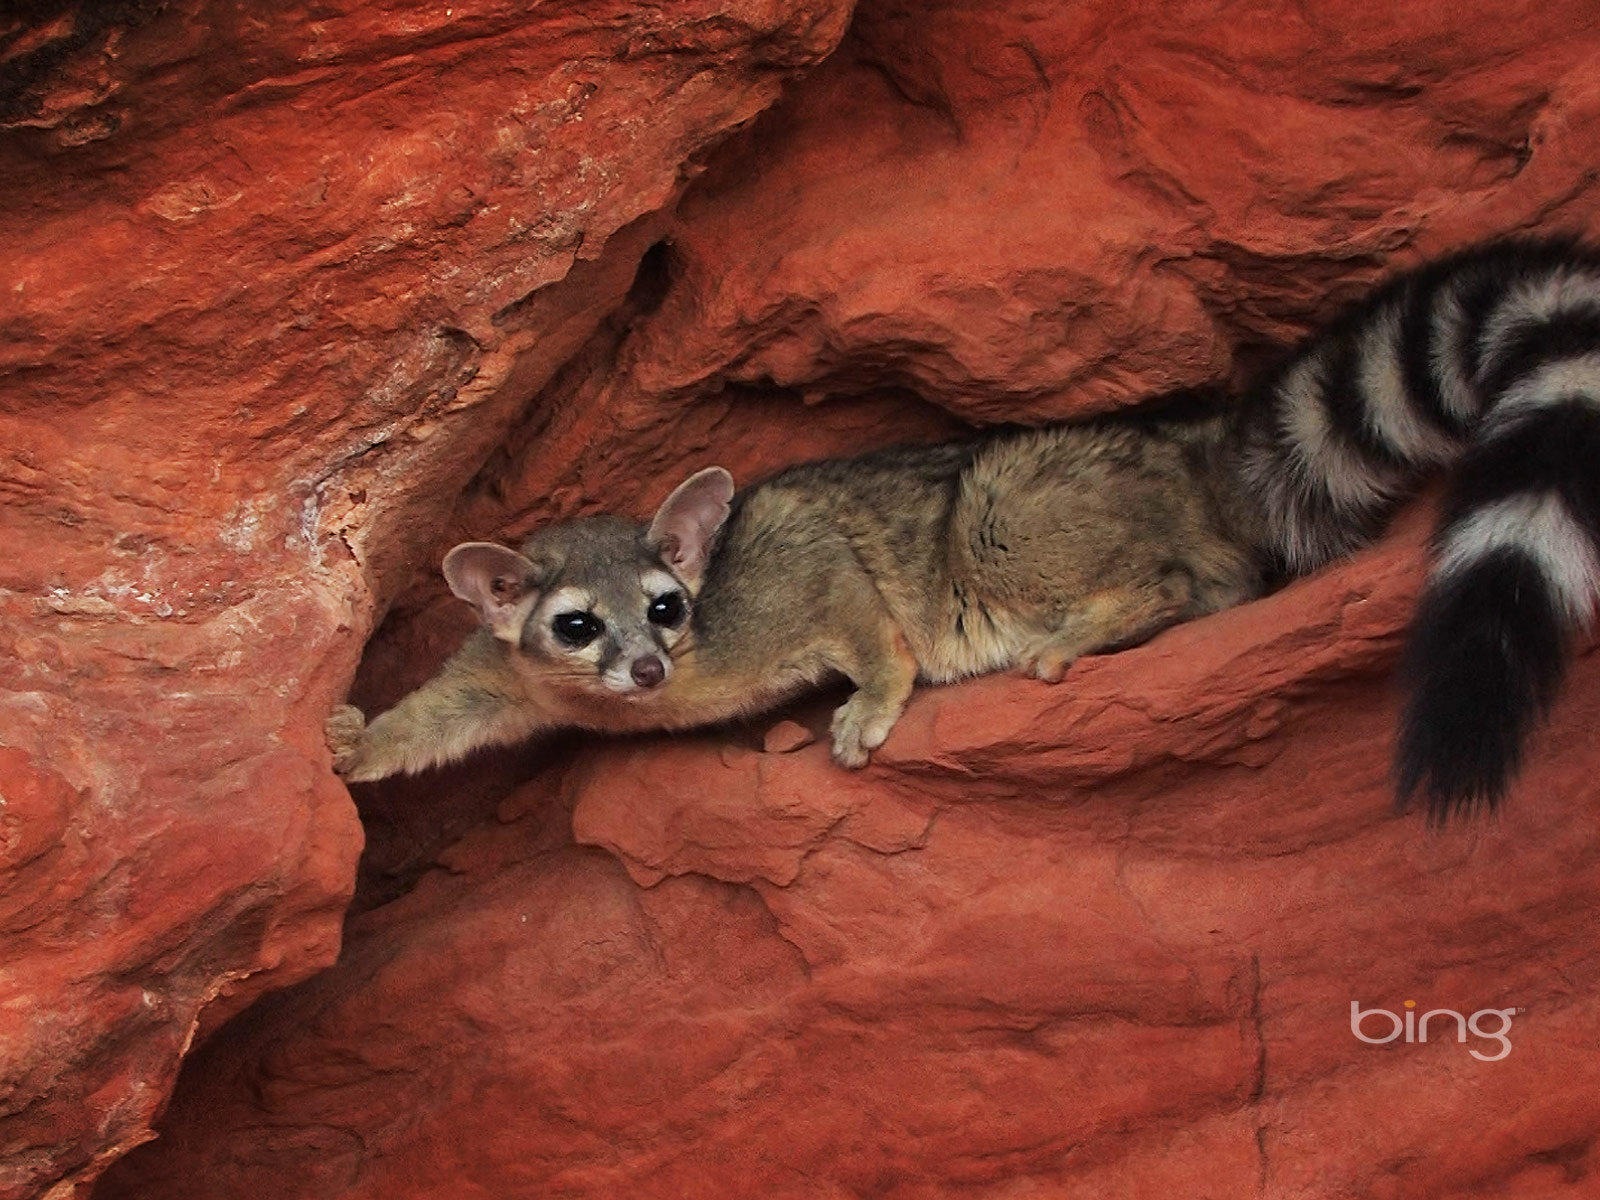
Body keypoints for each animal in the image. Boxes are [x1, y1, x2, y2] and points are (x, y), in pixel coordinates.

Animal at [328, 236, 1600, 825]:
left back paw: (1098, 619)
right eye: (577, 626)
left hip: (1008, 513)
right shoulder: (507, 672)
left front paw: (878, 693)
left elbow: (861, 610)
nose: (645, 669)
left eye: (668, 606)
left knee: (1176, 576)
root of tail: (1188, 442)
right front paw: (358, 743)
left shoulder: (791, 574)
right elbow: (443, 712)